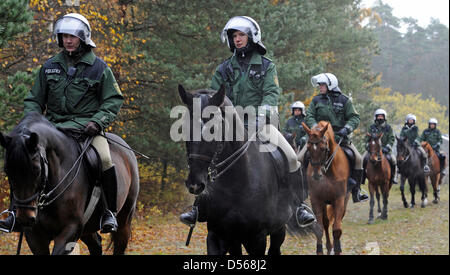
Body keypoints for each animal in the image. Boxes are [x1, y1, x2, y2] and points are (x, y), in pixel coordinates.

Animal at [0, 113, 140, 256]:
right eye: (7, 170)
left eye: (37, 169)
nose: (25, 217)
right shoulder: (34, 236)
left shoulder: (70, 230)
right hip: (87, 228)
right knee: (96, 245)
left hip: (124, 222)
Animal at [178, 85, 300, 256]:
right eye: (184, 128)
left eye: (213, 129)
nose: (195, 184)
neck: (235, 183)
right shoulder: (217, 235)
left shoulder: (257, 239)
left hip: (278, 230)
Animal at [302, 122, 352, 256]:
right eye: (308, 148)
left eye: (323, 148)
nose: (316, 175)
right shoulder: (316, 199)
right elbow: (319, 228)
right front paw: (320, 250)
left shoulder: (339, 199)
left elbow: (337, 229)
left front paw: (337, 250)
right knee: (325, 222)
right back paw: (329, 247)